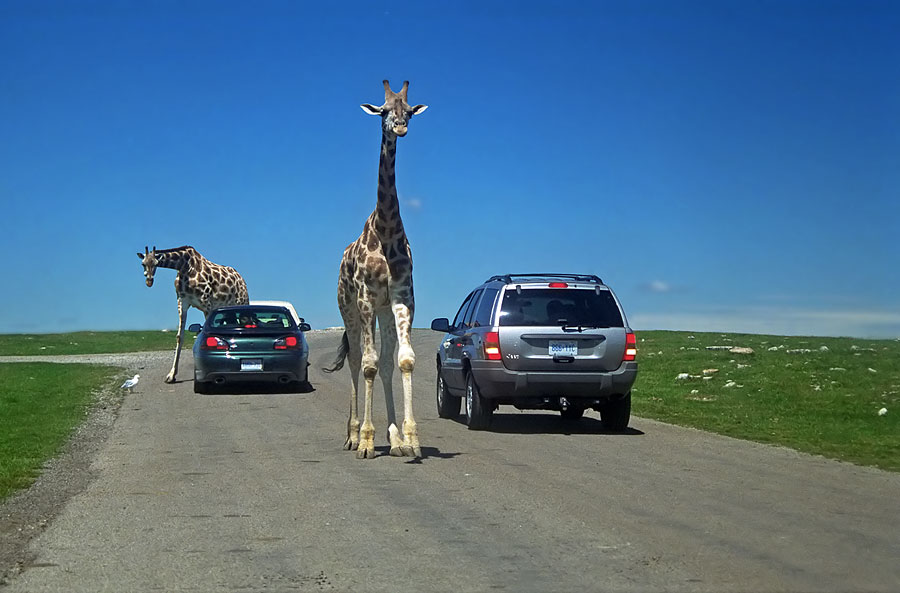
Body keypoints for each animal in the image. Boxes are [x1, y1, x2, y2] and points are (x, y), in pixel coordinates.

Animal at [134, 245, 246, 384]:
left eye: (155, 263)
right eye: (143, 263)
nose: (149, 281)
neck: (184, 266)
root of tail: (241, 279)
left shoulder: (206, 303)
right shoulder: (182, 302)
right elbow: (180, 336)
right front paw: (171, 375)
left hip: (241, 302)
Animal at [324, 80, 428, 458]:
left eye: (409, 110)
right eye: (383, 111)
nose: (399, 126)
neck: (386, 230)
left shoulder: (401, 299)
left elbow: (403, 360)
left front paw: (410, 439)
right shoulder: (367, 299)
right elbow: (366, 363)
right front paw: (367, 441)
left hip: (382, 311)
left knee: (383, 363)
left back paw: (394, 439)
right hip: (349, 309)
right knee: (357, 360)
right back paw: (353, 435)